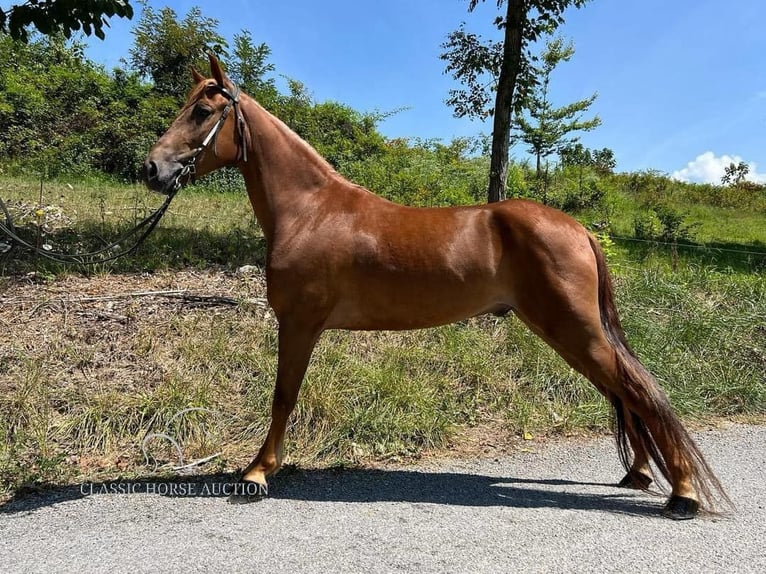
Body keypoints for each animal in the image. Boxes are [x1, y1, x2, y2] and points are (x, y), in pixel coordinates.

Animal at [146, 56, 732, 520]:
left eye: (202, 112)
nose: (152, 169)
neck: (311, 210)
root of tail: (578, 228)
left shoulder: (299, 323)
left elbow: (282, 396)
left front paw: (257, 472)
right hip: (570, 333)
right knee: (624, 391)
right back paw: (640, 474)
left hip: (574, 329)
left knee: (638, 389)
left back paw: (682, 493)